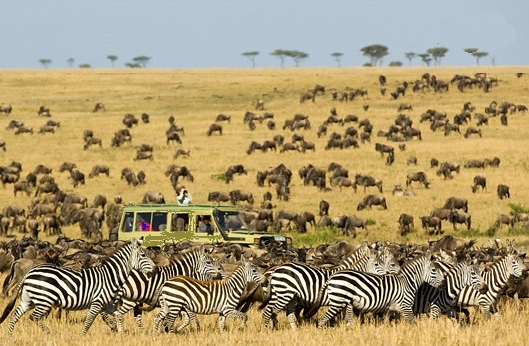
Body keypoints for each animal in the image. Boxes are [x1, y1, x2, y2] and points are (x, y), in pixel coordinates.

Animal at [0, 238, 156, 336]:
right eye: (143, 255)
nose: (155, 270)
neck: (110, 276)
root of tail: (29, 272)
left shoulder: (107, 305)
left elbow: (119, 317)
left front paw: (120, 333)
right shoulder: (97, 302)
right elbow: (88, 322)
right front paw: (82, 336)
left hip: (28, 300)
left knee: (15, 314)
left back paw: (9, 335)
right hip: (44, 300)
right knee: (34, 317)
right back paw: (50, 333)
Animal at [260, 242, 396, 328]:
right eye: (377, 264)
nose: (388, 275)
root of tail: (276, 269)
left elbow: (346, 317)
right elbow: (347, 317)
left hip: (287, 296)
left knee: (285, 314)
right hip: (282, 294)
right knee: (269, 312)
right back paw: (267, 331)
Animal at [316, 250, 444, 328]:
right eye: (434, 270)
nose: (443, 285)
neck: (407, 282)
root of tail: (332, 276)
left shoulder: (387, 310)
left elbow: (384, 324)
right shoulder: (405, 307)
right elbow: (413, 324)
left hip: (345, 304)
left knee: (347, 322)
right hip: (338, 302)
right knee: (322, 319)